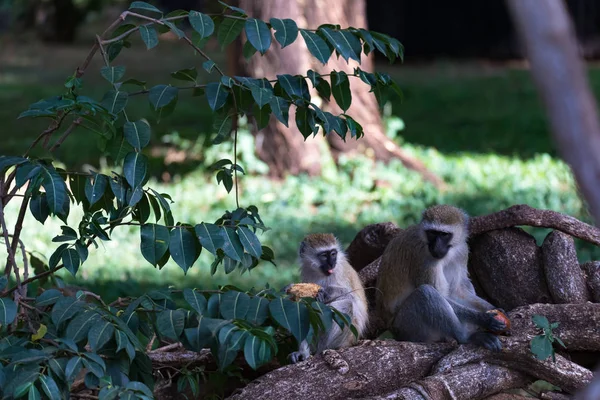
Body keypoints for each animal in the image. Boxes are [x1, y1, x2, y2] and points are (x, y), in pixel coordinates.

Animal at [288, 233, 368, 364]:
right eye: (324, 255)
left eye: (333, 254)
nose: (331, 263)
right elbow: (303, 306)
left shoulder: (340, 271)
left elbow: (354, 300)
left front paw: (326, 293)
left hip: (350, 336)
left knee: (347, 305)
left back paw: (327, 347)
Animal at [378, 205, 508, 352]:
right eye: (432, 233)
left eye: (444, 234)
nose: (436, 247)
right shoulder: (422, 256)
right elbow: (441, 294)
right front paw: (483, 318)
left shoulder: (462, 250)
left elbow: (458, 291)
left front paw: (492, 308)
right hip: (407, 327)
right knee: (425, 293)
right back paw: (466, 337)